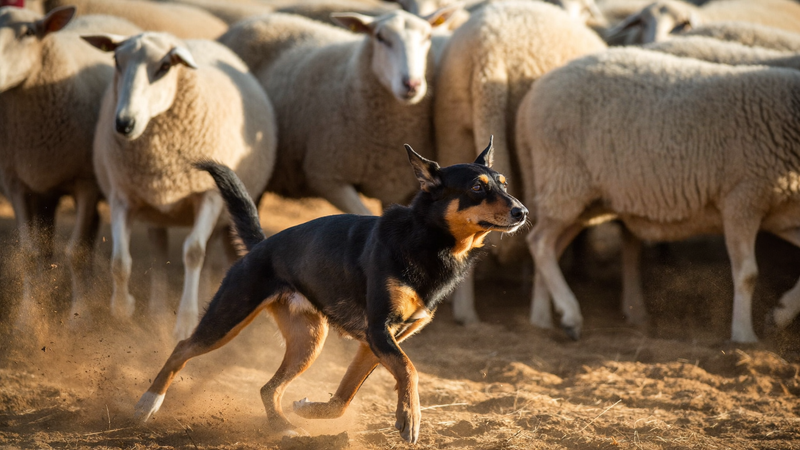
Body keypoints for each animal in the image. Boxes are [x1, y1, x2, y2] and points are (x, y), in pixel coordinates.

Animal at [0, 6, 137, 332]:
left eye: (28, 32)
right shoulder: (16, 184)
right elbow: (29, 253)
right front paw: (28, 317)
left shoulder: (85, 183)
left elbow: (75, 253)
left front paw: (80, 318)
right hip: (45, 189)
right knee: (49, 246)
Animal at [82, 31, 277, 340]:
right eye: (116, 60)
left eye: (165, 66)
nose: (124, 123)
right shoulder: (121, 196)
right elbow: (119, 260)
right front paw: (122, 308)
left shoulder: (209, 195)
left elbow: (194, 252)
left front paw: (186, 321)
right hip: (155, 212)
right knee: (159, 253)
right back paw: (157, 309)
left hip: (221, 214)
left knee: (205, 255)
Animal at [516, 47, 800, 343]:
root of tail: (533, 94)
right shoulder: (742, 199)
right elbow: (747, 274)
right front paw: (744, 336)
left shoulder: (779, 213)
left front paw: (778, 316)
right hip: (564, 183)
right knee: (539, 242)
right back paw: (569, 315)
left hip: (585, 204)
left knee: (552, 246)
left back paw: (542, 320)